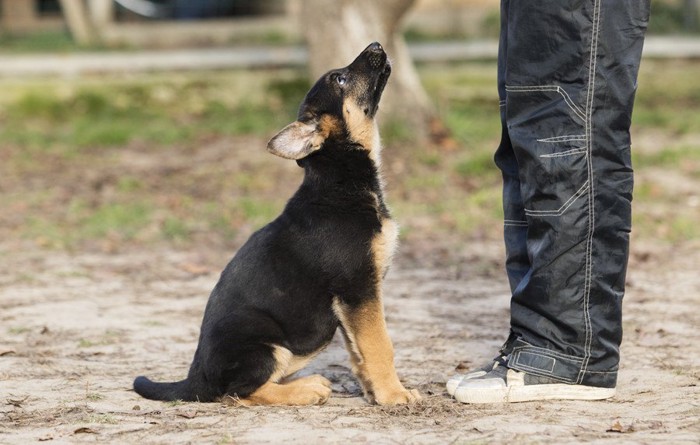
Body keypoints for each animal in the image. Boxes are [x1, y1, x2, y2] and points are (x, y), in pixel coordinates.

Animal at [135, 42, 422, 406]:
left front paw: (374, 393)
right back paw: (307, 388)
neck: (339, 180)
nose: (376, 45)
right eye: (340, 79)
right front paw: (394, 395)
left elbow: (360, 352)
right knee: (239, 391)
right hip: (265, 345)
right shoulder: (358, 288)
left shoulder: (353, 302)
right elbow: (380, 345)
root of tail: (196, 377)